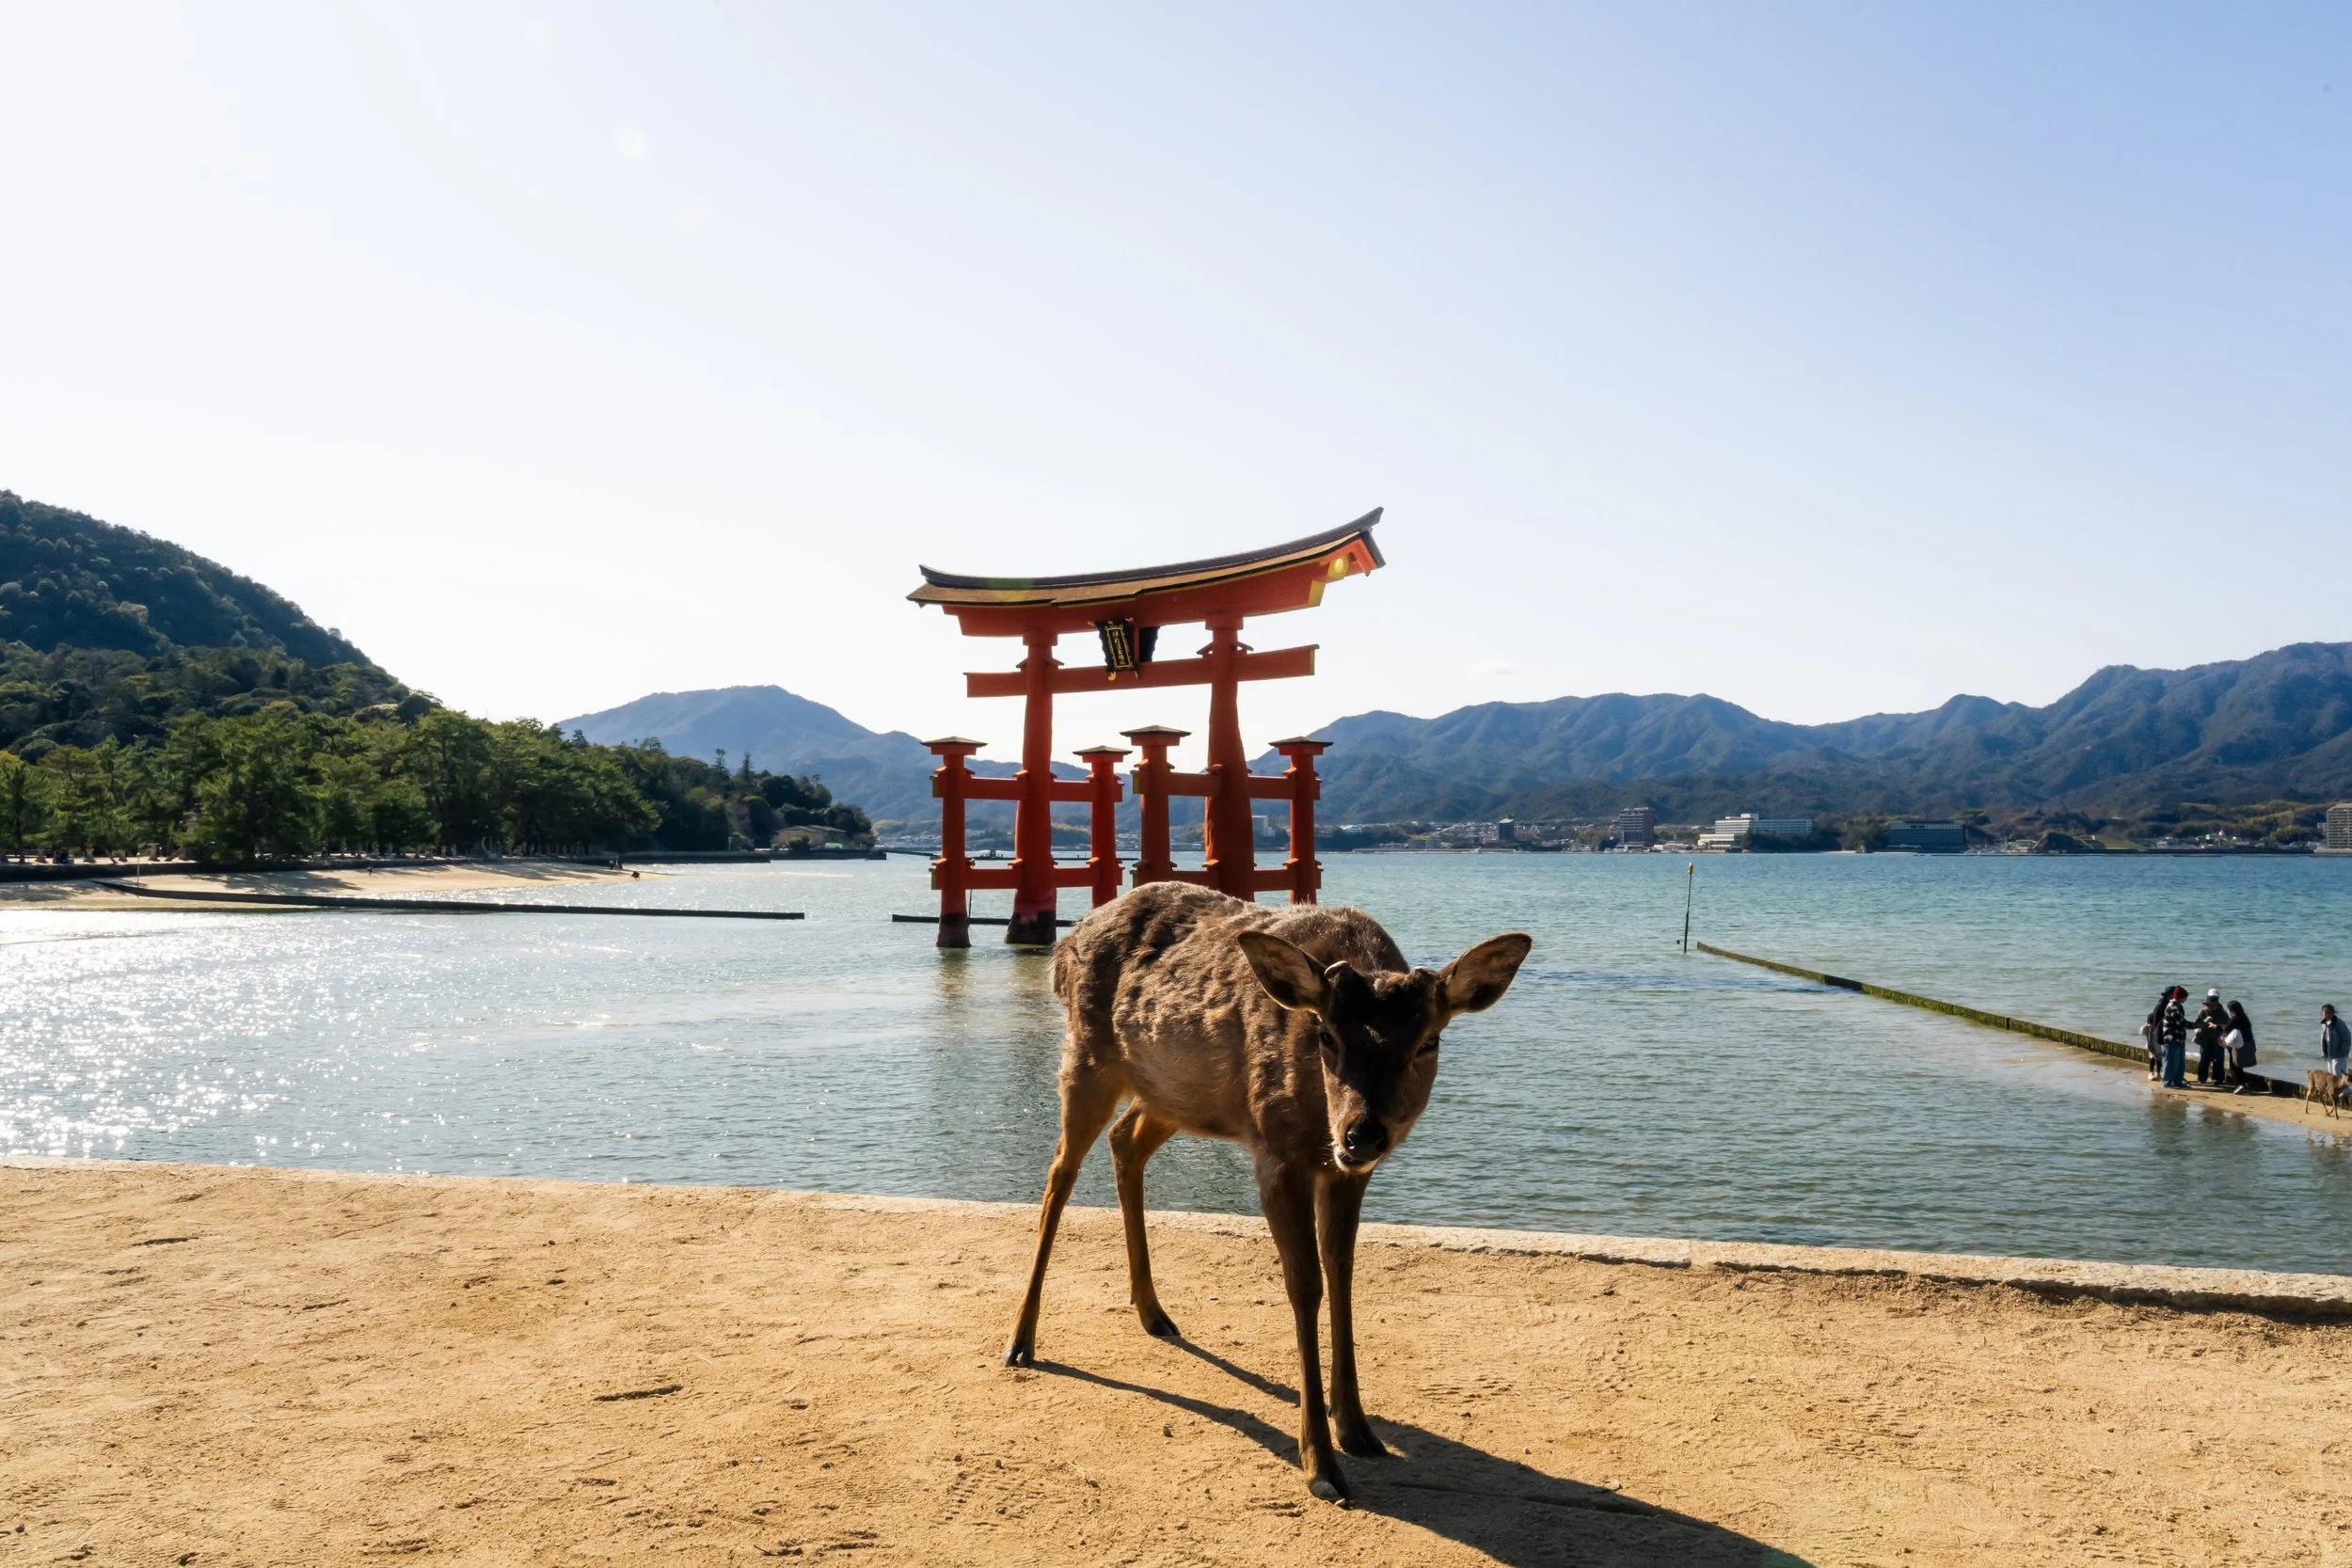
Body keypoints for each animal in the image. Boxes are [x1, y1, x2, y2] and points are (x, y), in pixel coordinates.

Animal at [1002, 879, 1532, 1503]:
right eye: (1327, 1035)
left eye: (1429, 1041)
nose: (1363, 1133)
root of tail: (1065, 947)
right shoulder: (1276, 1154)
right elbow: (1305, 1286)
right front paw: (1320, 1465)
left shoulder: (1347, 1173)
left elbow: (1343, 1274)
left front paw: (1358, 1428)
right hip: (1088, 1056)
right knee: (1059, 1173)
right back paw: (1021, 1341)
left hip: (1175, 1094)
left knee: (1125, 1141)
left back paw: (1154, 1313)